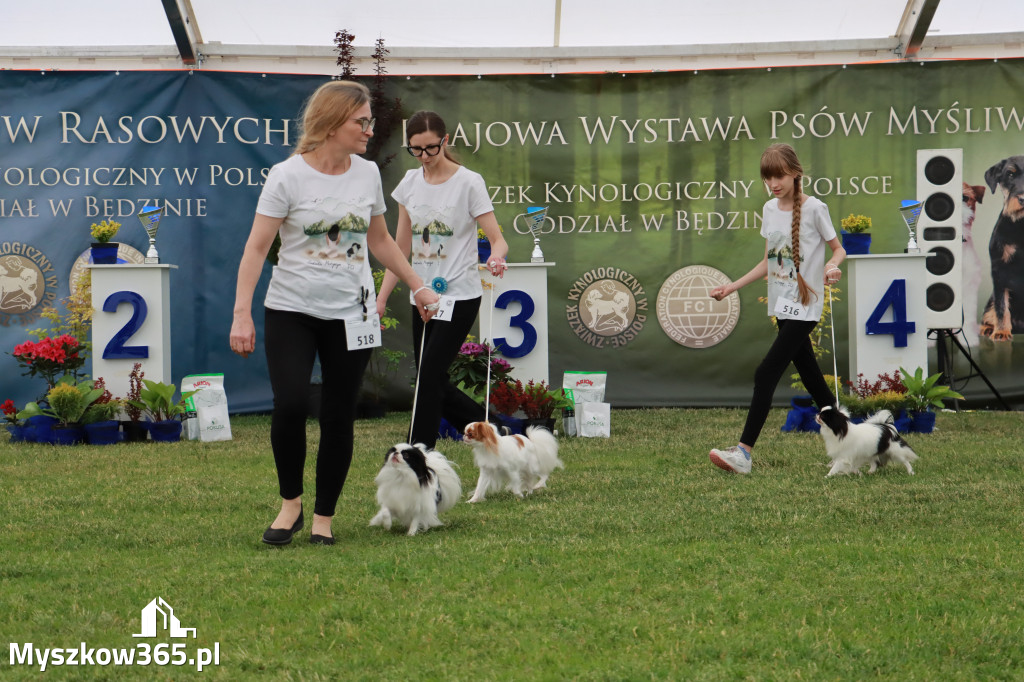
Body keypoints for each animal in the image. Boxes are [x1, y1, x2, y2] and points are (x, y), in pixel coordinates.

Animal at [974, 156, 1024, 342]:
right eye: (1010, 174)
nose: (1022, 199)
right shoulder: (999, 270)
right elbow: (1001, 307)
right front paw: (1001, 332)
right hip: (991, 298)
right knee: (990, 313)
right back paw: (989, 329)